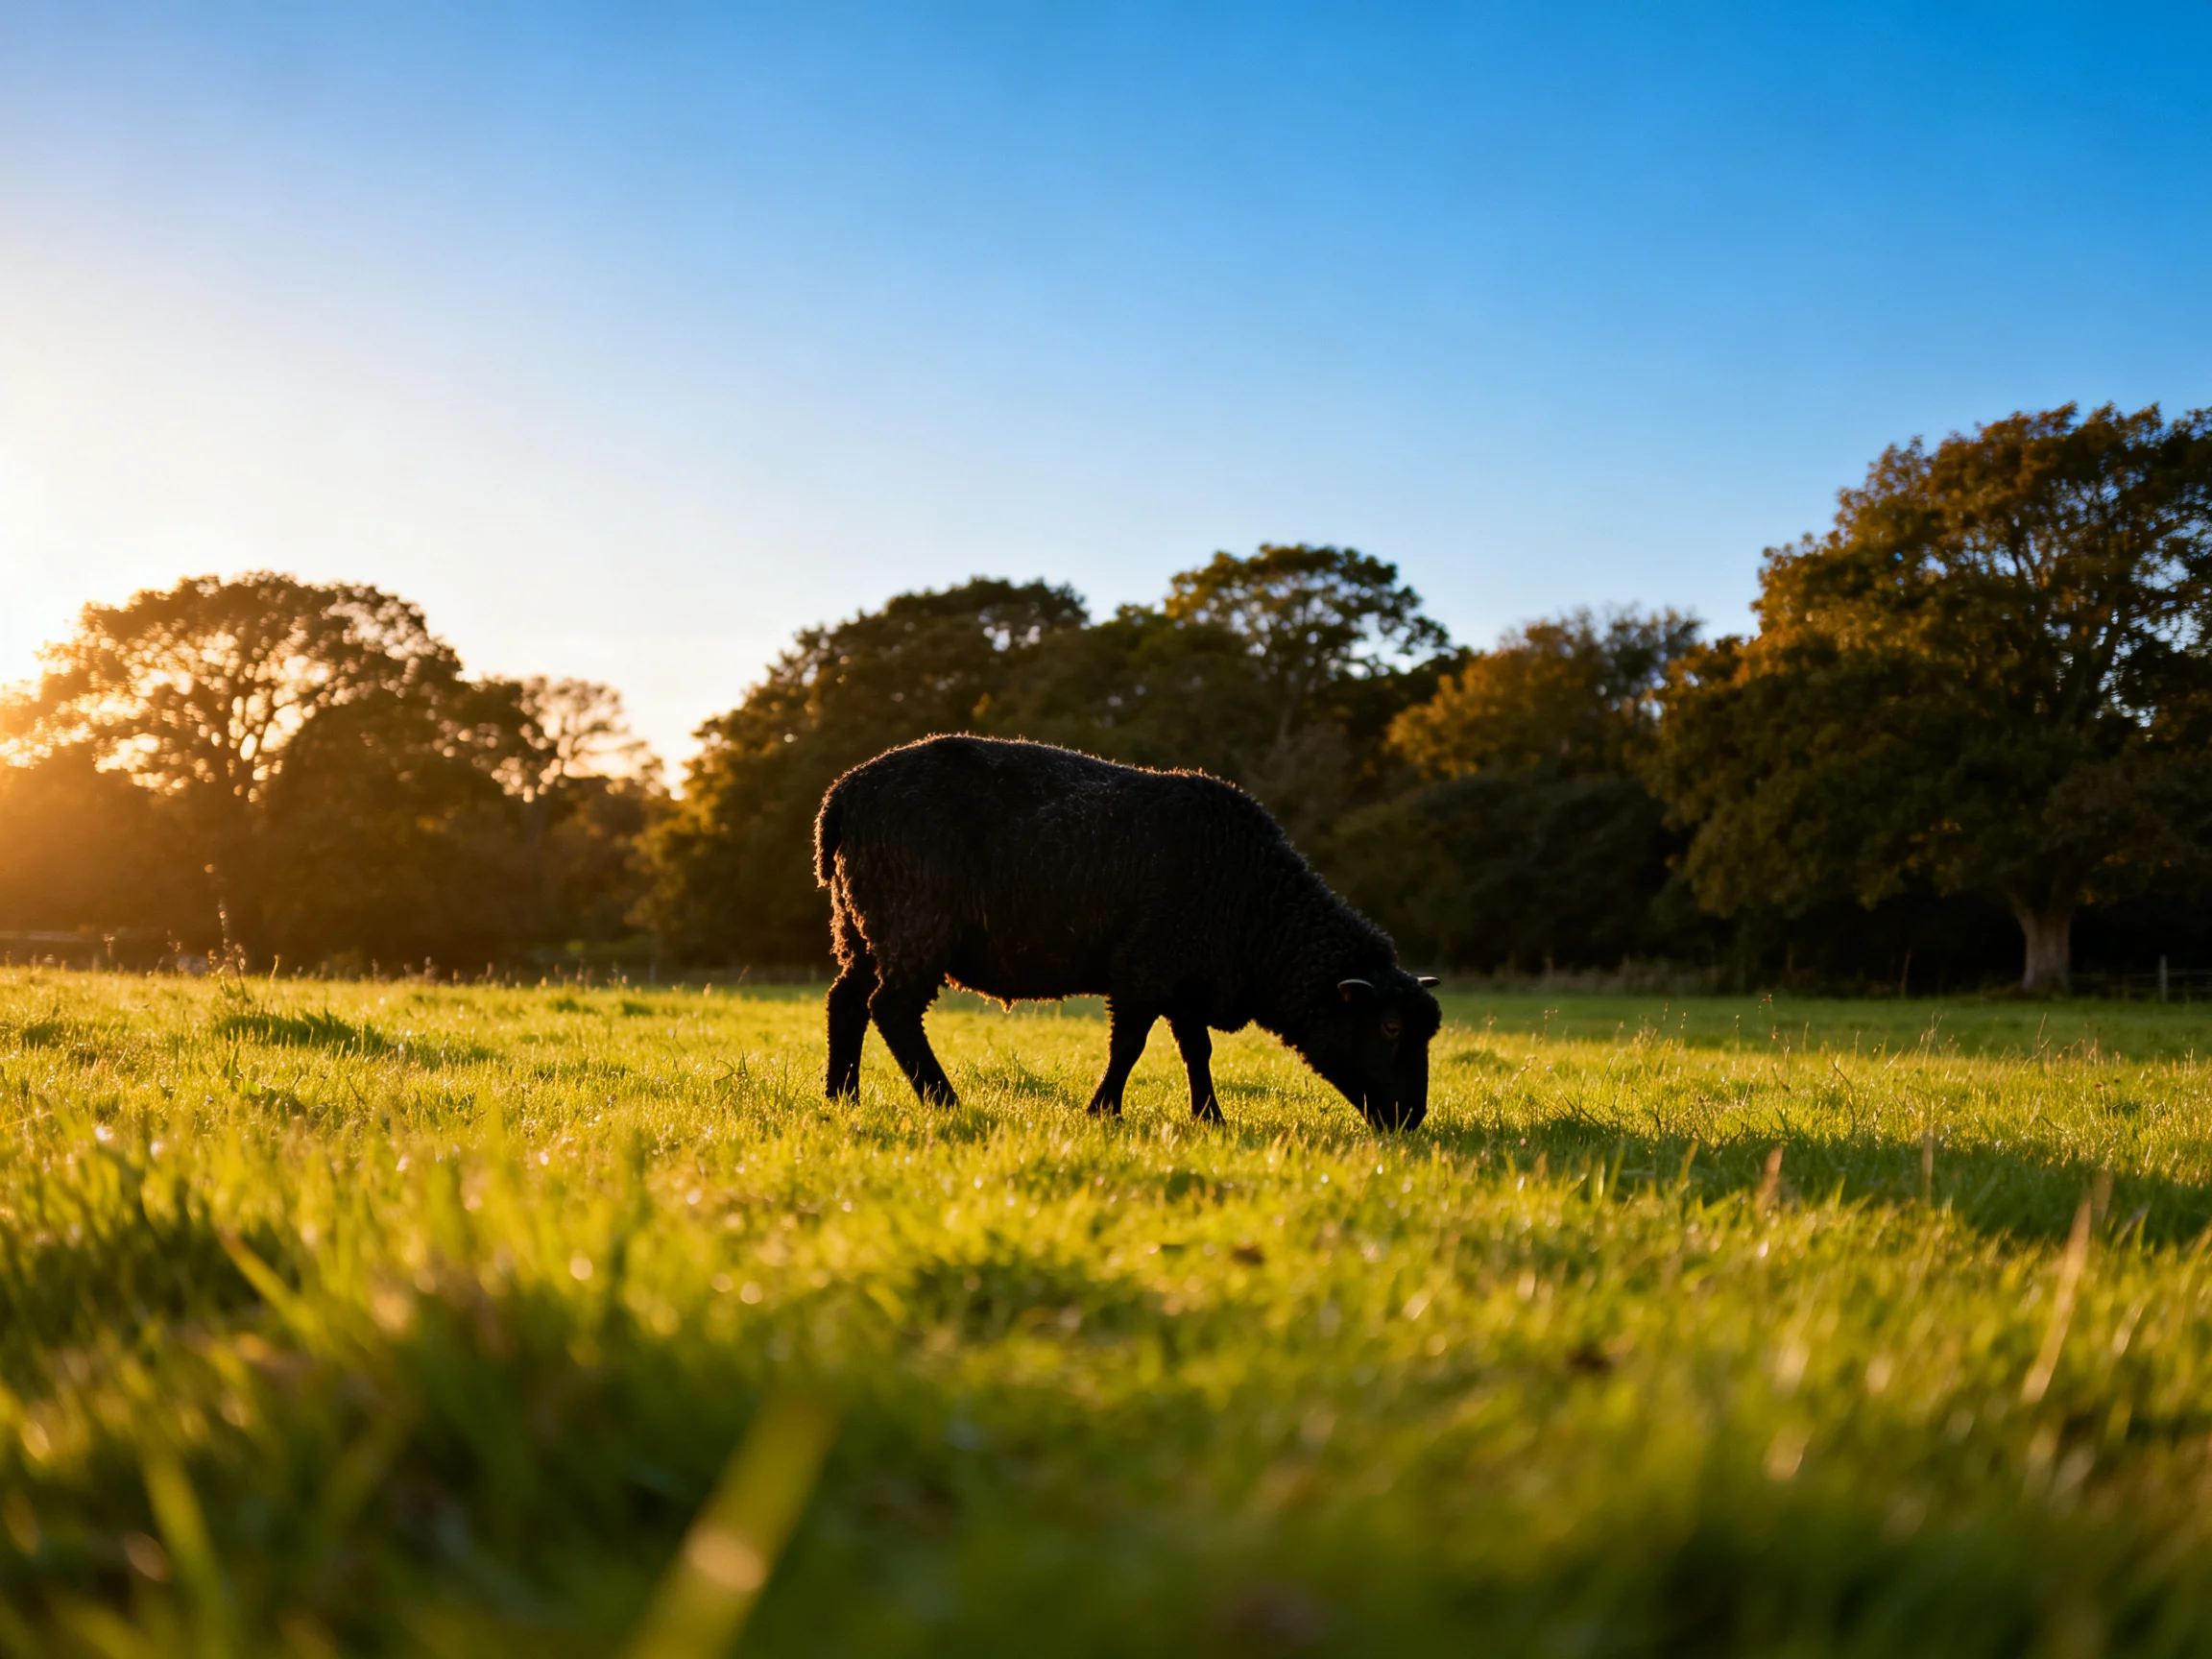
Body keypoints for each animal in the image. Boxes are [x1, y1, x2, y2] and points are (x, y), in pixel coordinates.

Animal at [814, 734, 1440, 1128]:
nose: (1411, 1120)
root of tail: (844, 793)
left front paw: (1209, 1118)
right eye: (1388, 1027)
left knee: (846, 1001)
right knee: (892, 1009)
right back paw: (944, 1101)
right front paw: (1104, 1111)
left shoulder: (1187, 979)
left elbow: (1197, 1051)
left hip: (859, 925)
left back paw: (842, 1096)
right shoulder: (1146, 968)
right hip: (912, 919)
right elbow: (1131, 1046)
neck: (1259, 914)